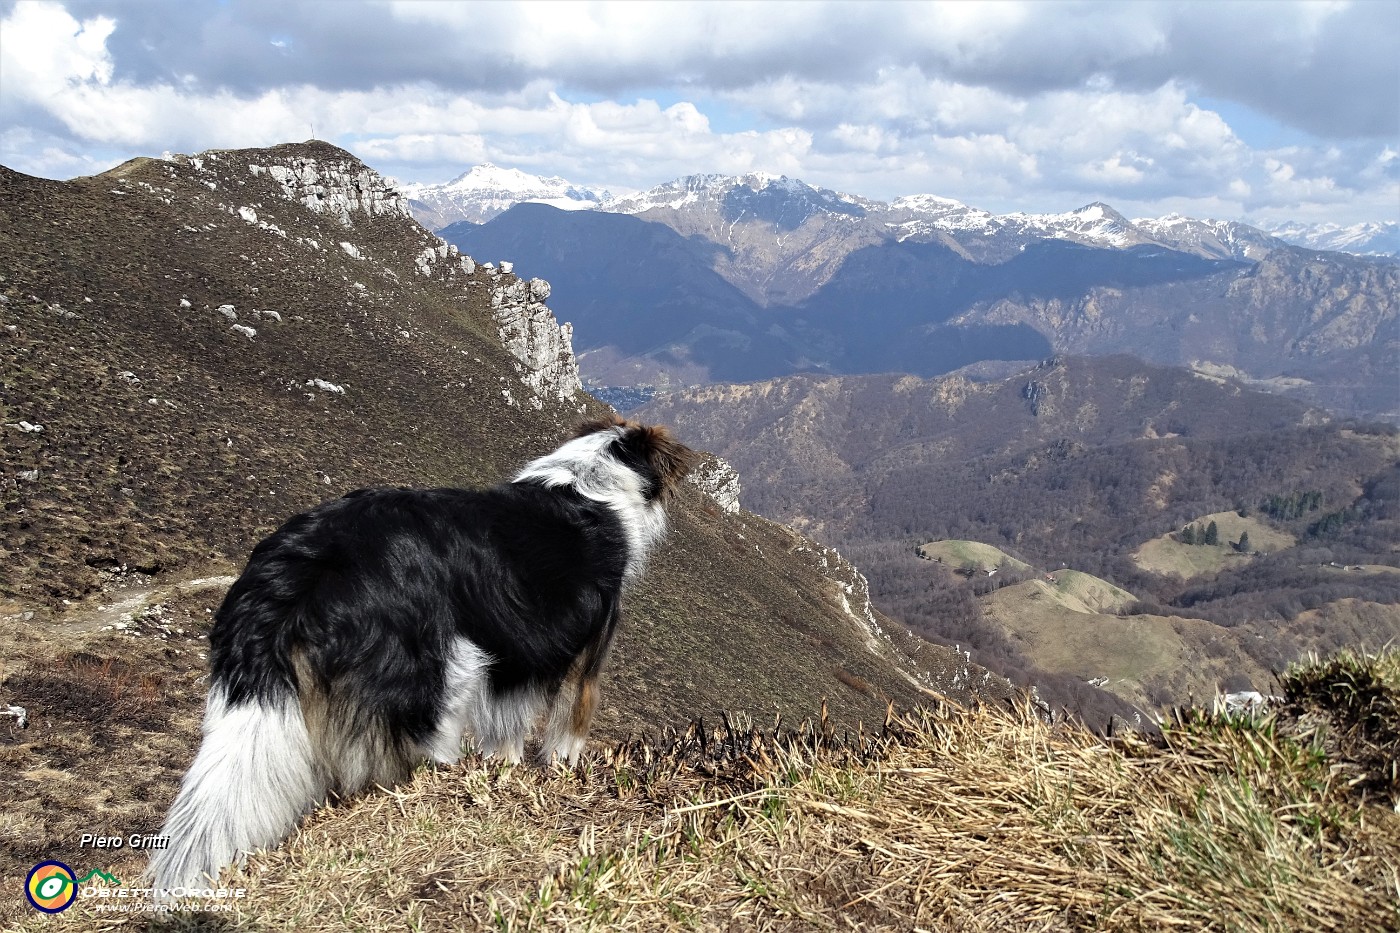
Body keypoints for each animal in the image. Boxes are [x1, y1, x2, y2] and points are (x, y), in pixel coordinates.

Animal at [147, 414, 694, 885]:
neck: (595, 480)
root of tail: (299, 565)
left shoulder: (515, 661)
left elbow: (507, 729)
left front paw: (505, 771)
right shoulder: (585, 656)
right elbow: (567, 732)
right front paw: (557, 771)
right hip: (444, 670)